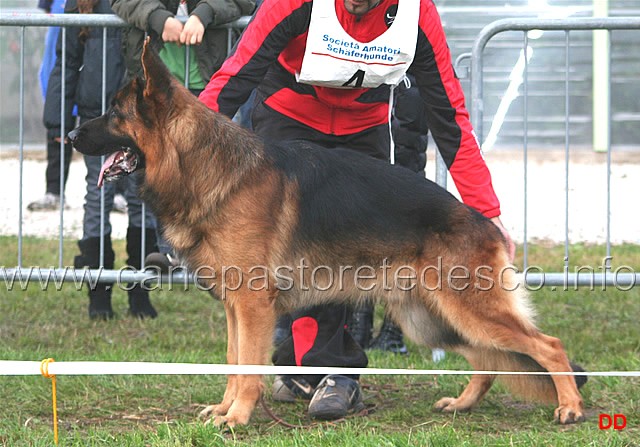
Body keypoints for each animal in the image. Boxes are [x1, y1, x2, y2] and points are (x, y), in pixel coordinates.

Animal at [69, 40, 584, 428]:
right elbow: (235, 361)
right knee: (488, 359)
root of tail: (484, 223)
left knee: (550, 347)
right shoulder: (236, 308)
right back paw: (464, 404)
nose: (70, 136)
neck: (205, 165)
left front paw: (237, 418)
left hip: (466, 310)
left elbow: (248, 367)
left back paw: (570, 407)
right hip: (433, 318)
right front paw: (225, 408)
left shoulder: (252, 306)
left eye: (114, 113)